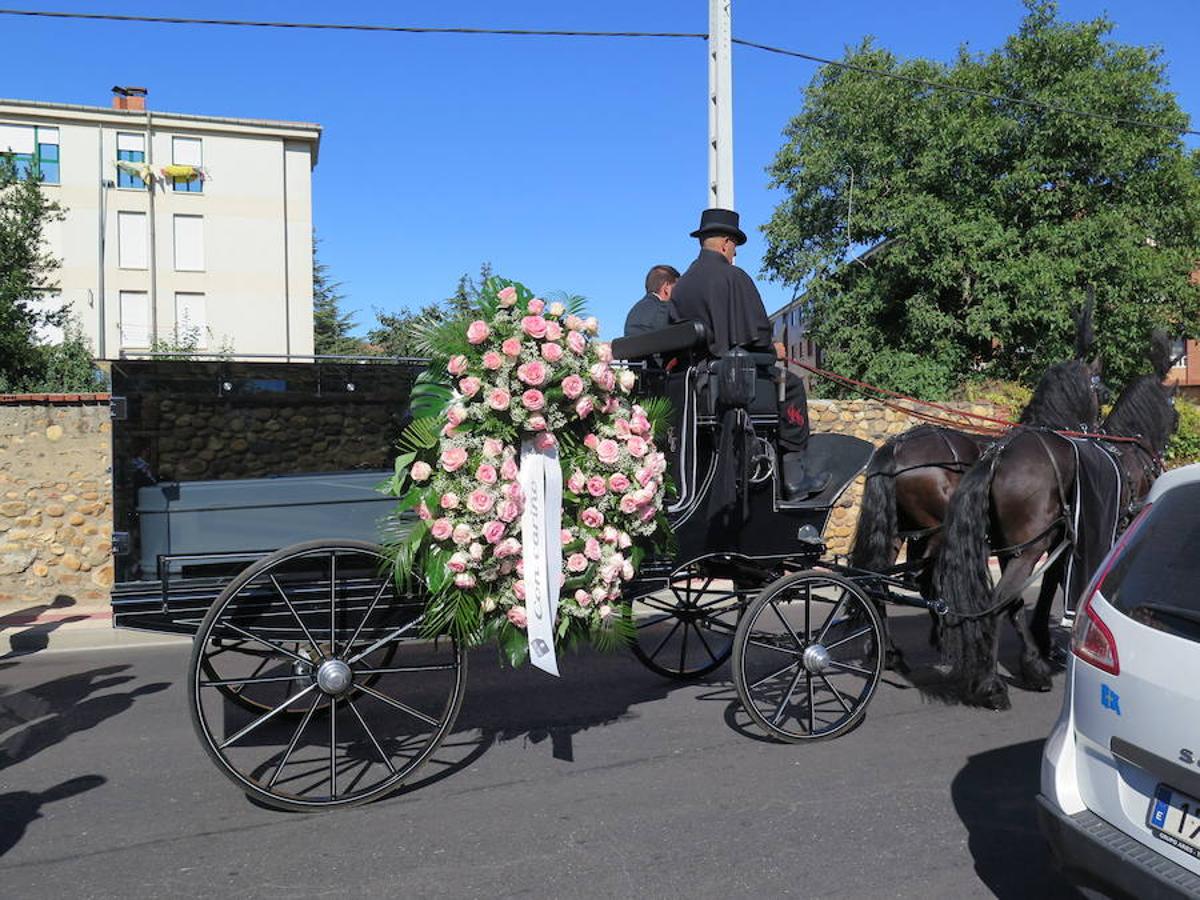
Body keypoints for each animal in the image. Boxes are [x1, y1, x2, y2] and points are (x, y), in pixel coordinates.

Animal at [931, 333, 1176, 710]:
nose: (1170, 438)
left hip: (1017, 549)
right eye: (1173, 411)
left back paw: (1030, 668)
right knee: (997, 600)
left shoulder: (1061, 539)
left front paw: (1043, 646)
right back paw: (990, 685)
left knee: (1011, 601)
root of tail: (998, 457)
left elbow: (1046, 587)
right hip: (1030, 549)